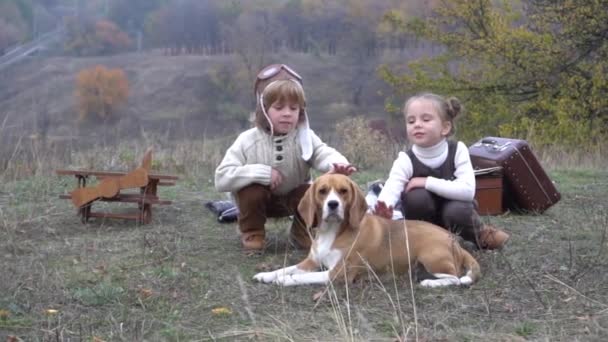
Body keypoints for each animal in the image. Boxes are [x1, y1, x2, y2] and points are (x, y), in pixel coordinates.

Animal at [252, 172, 480, 288]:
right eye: (322, 191)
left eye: (343, 191)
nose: (333, 205)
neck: (333, 232)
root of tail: (454, 241)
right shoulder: (311, 262)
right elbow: (287, 268)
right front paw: (267, 274)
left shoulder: (338, 273)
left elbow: (300, 277)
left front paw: (285, 280)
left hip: (431, 257)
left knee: (454, 278)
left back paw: (430, 283)